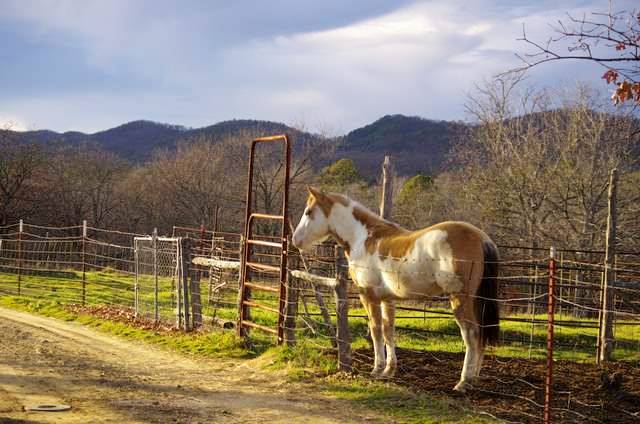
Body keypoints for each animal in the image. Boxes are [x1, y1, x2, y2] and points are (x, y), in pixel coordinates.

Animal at [292, 187, 500, 392]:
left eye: (308, 212)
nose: (295, 240)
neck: (363, 237)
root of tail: (482, 238)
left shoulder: (369, 297)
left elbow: (376, 331)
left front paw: (377, 370)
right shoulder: (388, 299)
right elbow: (388, 331)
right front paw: (389, 370)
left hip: (460, 299)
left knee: (471, 334)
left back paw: (463, 381)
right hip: (476, 300)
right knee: (481, 334)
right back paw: (475, 377)